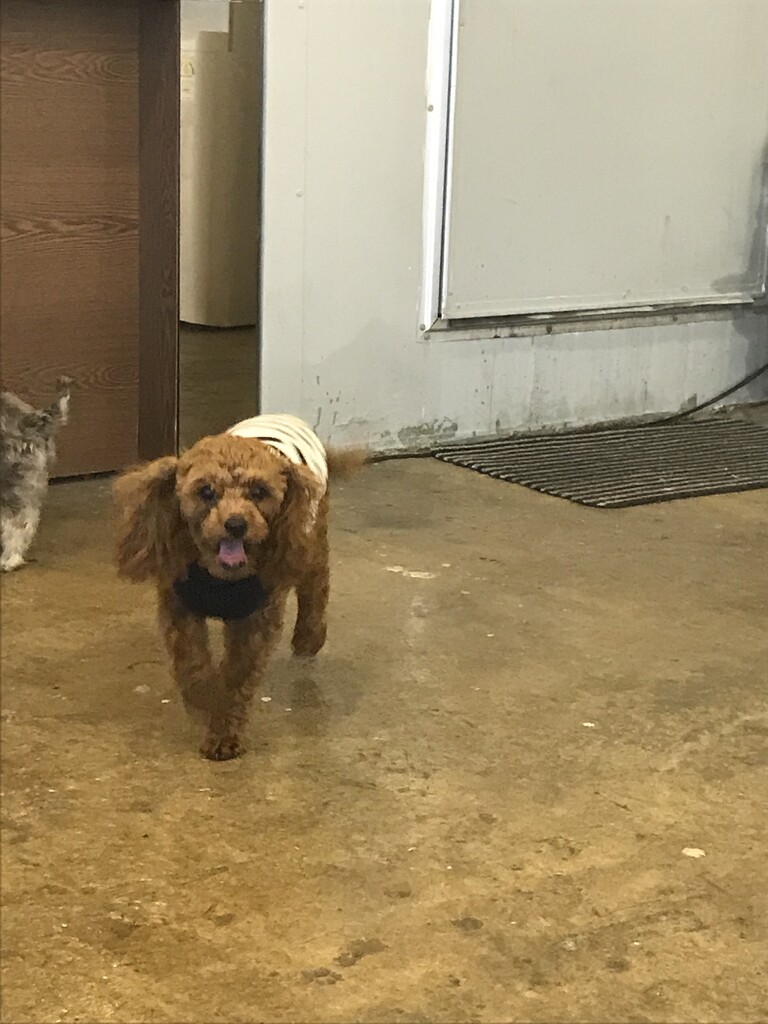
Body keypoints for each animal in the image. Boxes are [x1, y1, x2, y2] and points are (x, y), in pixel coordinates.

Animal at [113, 414, 364, 760]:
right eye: (206, 491)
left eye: (259, 491)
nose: (235, 524)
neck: (222, 577)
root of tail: (284, 417)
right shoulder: (179, 610)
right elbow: (192, 666)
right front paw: (204, 699)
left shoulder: (256, 621)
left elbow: (236, 679)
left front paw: (223, 733)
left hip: (311, 539)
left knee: (315, 586)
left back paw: (309, 637)